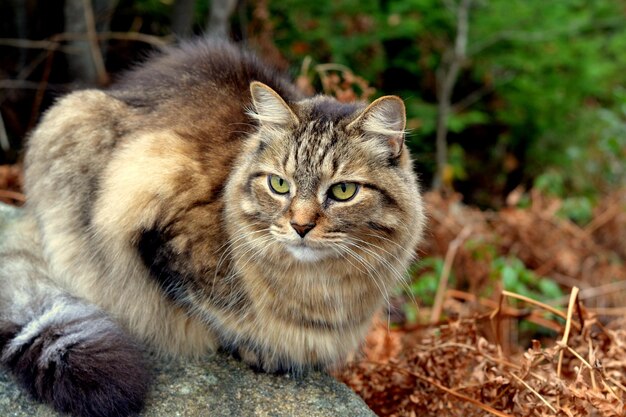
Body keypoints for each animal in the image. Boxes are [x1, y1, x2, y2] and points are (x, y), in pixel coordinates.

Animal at [0, 37, 424, 414]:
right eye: (279, 184)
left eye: (343, 191)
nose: (300, 226)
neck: (319, 288)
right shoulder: (160, 233)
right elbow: (210, 311)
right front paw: (260, 350)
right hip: (73, 121)